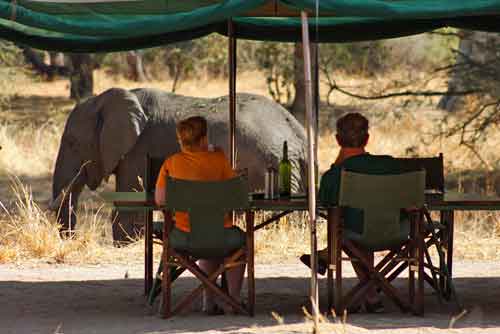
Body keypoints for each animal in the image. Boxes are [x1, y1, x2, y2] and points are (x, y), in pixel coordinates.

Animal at [51, 87, 308, 241]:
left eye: (72, 143)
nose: (73, 239)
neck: (103, 100)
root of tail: (299, 132)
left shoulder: (138, 149)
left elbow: (130, 204)